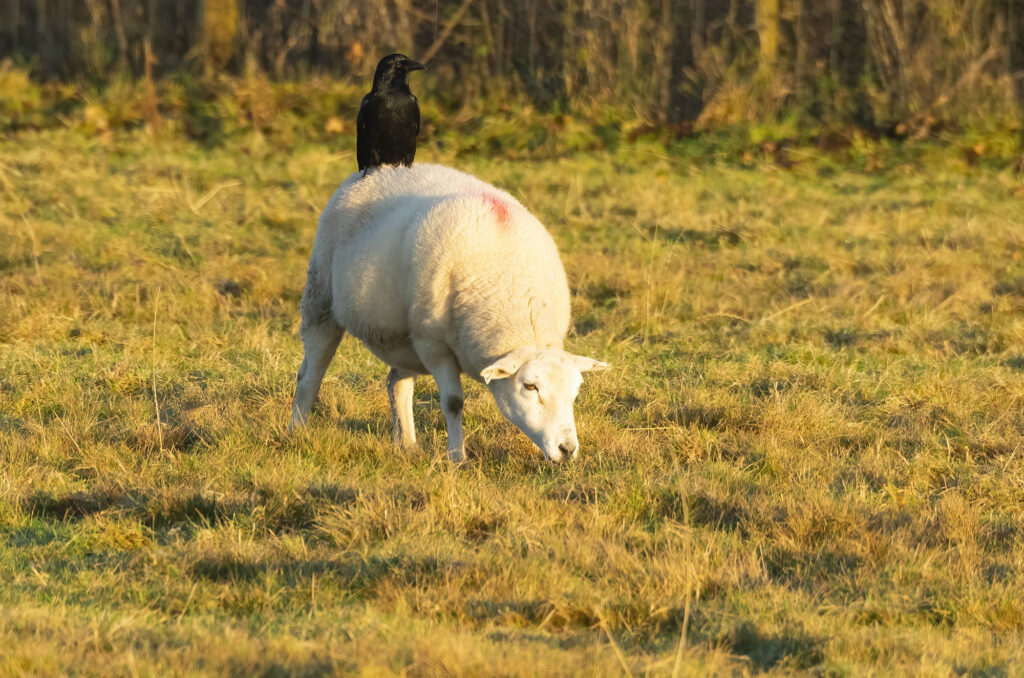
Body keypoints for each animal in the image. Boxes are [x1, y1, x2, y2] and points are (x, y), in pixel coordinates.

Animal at [288, 163, 606, 462]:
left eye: (576, 390)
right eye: (530, 386)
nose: (567, 449)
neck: (515, 296)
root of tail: (379, 168)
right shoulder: (434, 345)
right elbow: (454, 402)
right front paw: (457, 457)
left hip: (404, 334)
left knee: (397, 383)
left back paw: (407, 446)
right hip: (322, 296)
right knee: (310, 375)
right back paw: (297, 431)